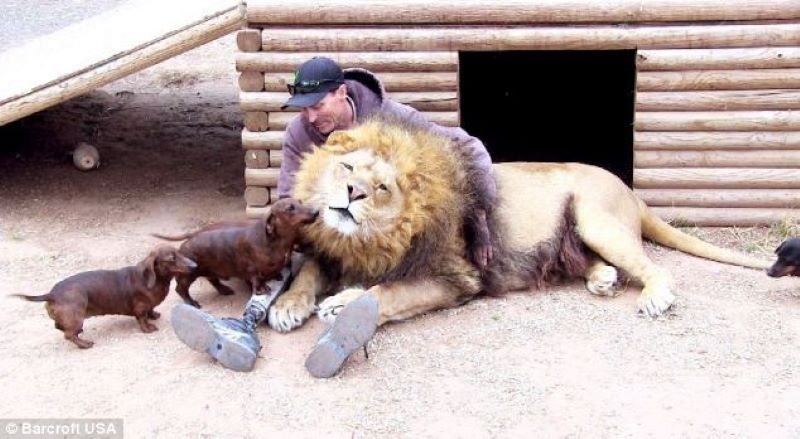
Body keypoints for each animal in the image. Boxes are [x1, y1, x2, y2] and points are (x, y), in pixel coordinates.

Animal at [13, 246, 196, 348]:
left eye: (180, 253)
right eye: (172, 258)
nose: (194, 265)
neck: (154, 280)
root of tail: (52, 294)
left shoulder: (148, 306)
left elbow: (151, 311)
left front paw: (154, 315)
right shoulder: (140, 308)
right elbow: (142, 319)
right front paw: (148, 328)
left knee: (60, 327)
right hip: (76, 316)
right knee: (68, 335)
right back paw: (84, 344)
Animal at [268, 117, 768, 334]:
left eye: (382, 187)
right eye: (348, 168)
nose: (353, 194)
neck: (369, 239)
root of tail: (630, 189)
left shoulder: (456, 277)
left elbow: (388, 291)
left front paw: (342, 303)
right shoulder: (332, 247)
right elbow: (307, 272)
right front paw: (288, 306)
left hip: (594, 216)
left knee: (654, 268)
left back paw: (653, 297)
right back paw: (601, 278)